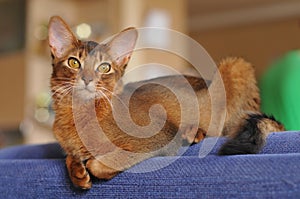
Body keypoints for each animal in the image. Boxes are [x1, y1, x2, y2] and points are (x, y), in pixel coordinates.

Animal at [48, 15, 284, 190]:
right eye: (73, 63)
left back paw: (194, 132)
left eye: (104, 67)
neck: (77, 113)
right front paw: (78, 173)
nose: (87, 79)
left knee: (220, 130)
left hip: (235, 65)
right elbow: (70, 156)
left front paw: (90, 166)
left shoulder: (159, 137)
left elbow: (100, 163)